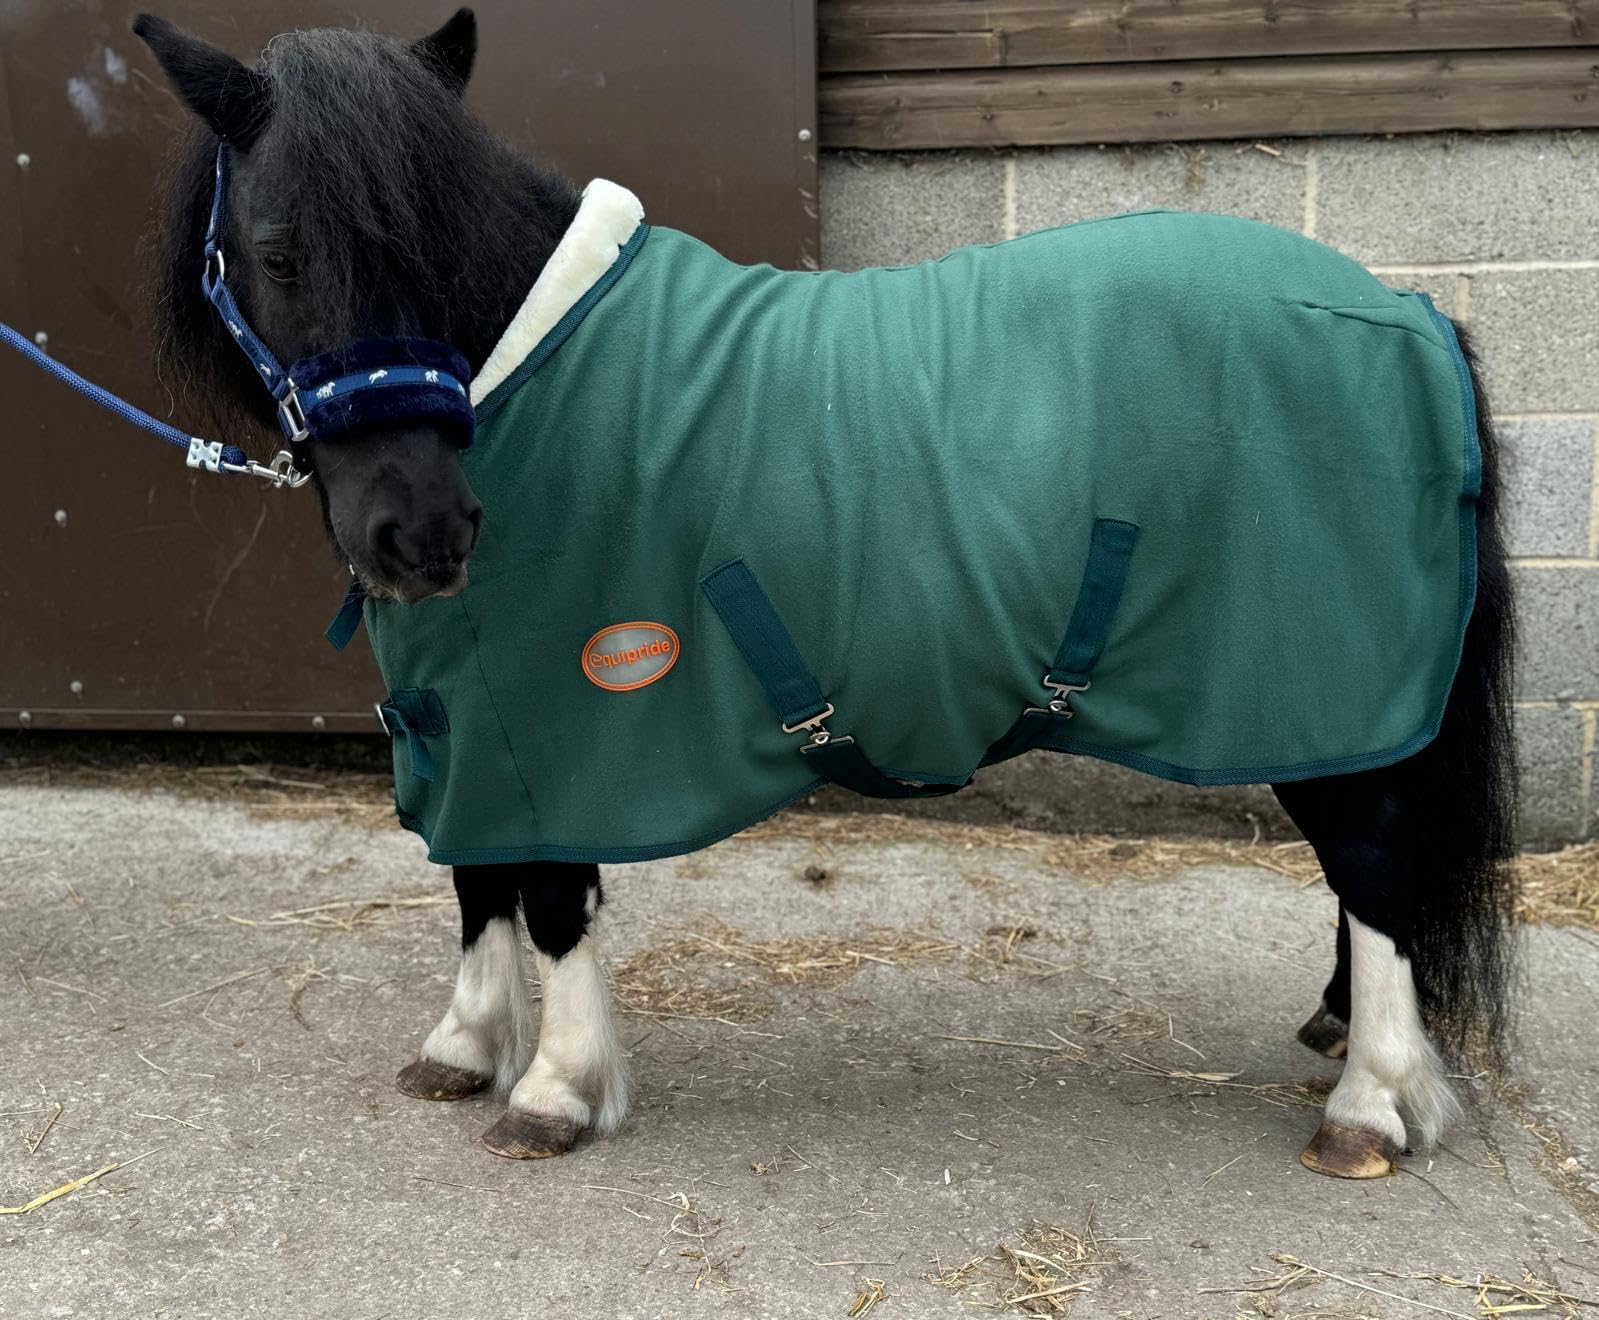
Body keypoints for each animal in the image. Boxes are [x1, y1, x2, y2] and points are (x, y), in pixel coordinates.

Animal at [132, 8, 1518, 1177]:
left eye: (441, 244)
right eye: (278, 253)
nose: (422, 533)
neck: (535, 378)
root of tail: (1409, 311)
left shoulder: (565, 715)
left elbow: (550, 897)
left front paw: (554, 1091)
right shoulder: (469, 712)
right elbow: (480, 878)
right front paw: (465, 1048)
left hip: (1324, 689)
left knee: (1376, 860)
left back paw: (1371, 1103)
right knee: (1368, 868)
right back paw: (1339, 1040)